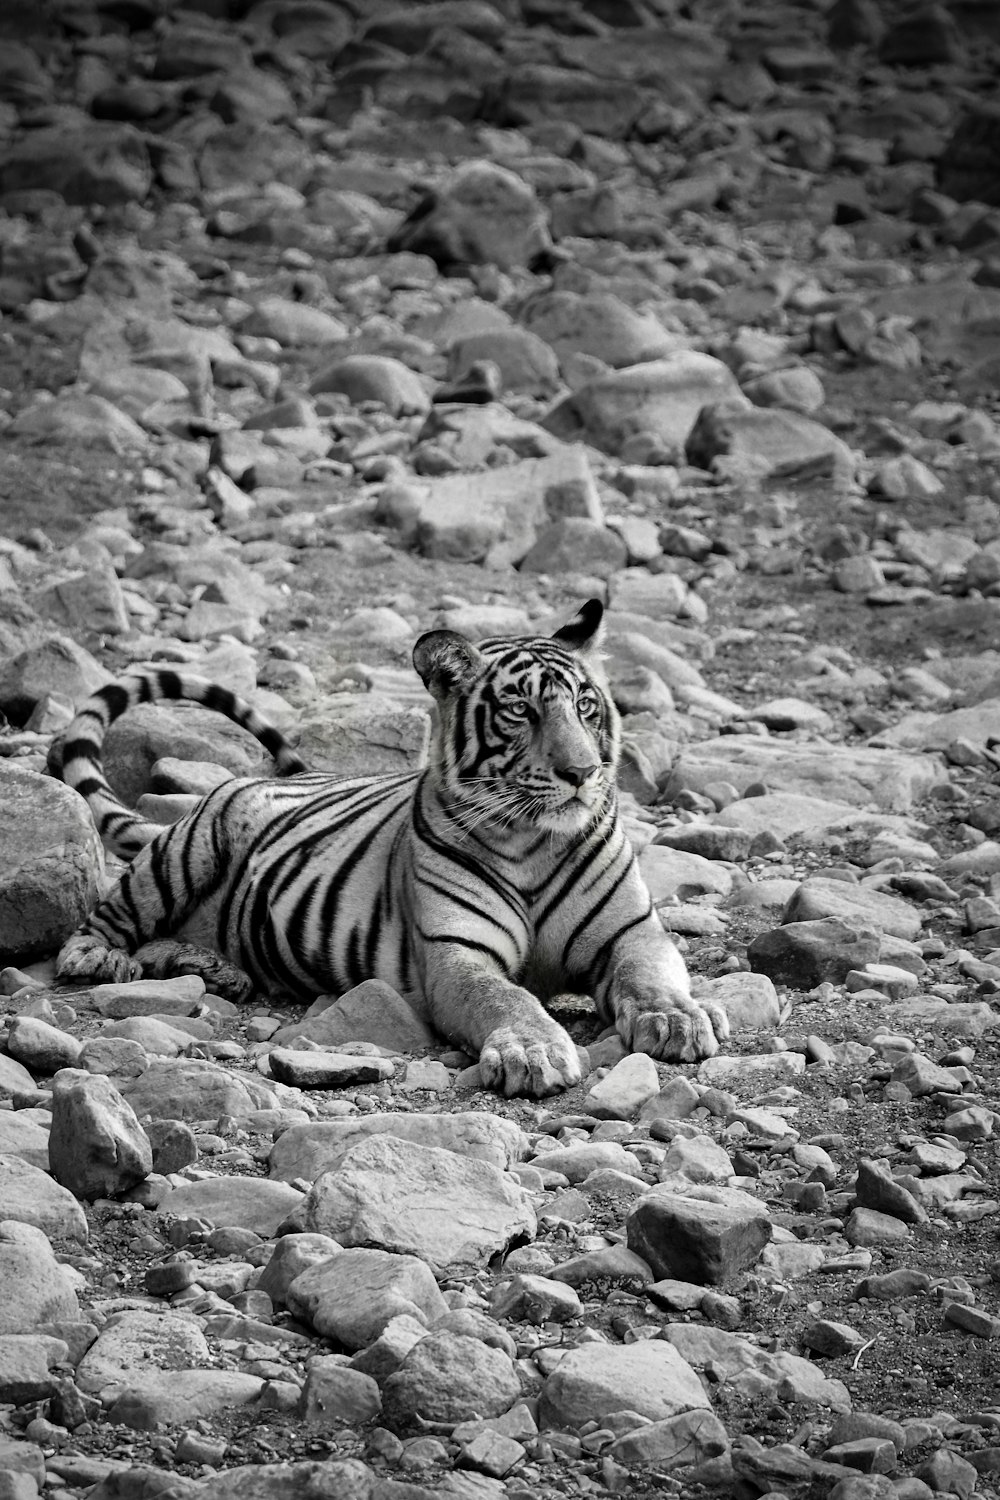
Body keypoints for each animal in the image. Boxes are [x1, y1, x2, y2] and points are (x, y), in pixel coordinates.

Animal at [52, 600, 728, 1104]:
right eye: (519, 710)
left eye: (586, 706)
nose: (583, 773)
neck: (538, 841)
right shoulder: (457, 955)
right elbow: (506, 997)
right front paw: (533, 1051)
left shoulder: (632, 934)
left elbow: (651, 978)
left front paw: (680, 1019)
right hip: (193, 843)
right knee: (112, 916)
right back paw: (100, 958)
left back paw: (216, 968)